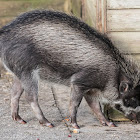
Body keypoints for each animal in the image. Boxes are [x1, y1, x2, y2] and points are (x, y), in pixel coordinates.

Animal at [0, 9, 140, 128]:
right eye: (131, 99)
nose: (138, 120)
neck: (113, 74)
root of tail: (4, 32)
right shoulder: (79, 82)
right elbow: (75, 103)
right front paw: (75, 126)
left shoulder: (90, 90)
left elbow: (95, 107)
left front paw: (110, 124)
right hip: (27, 70)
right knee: (30, 97)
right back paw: (48, 123)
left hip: (18, 72)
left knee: (15, 93)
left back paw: (20, 120)